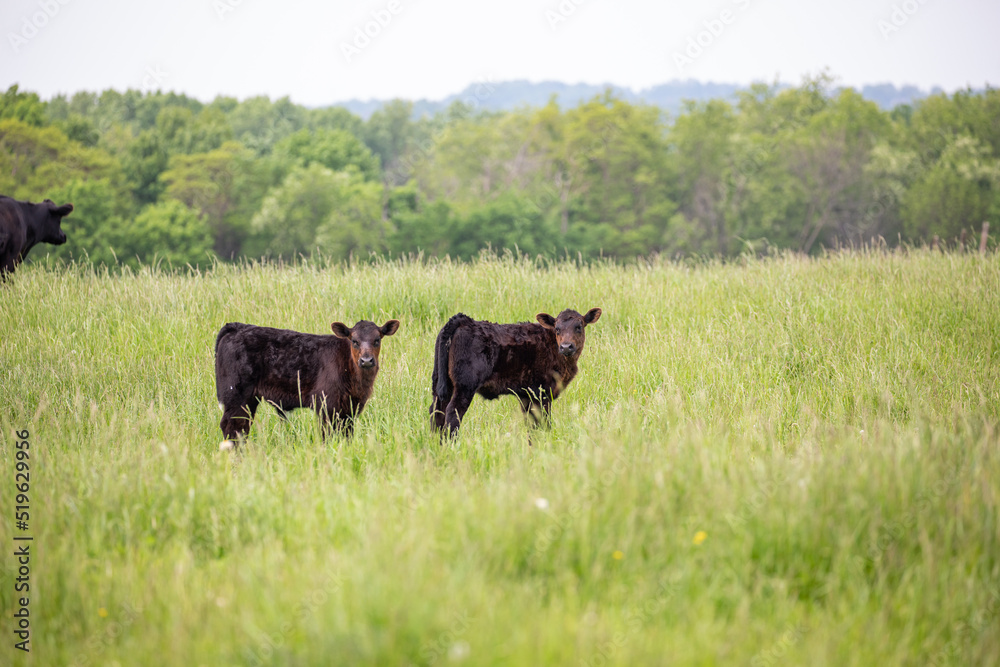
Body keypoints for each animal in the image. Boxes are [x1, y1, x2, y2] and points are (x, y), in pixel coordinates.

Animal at [214, 318, 400, 445]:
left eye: (377, 340)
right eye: (354, 341)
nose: (366, 360)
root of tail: (236, 327)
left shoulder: (351, 410)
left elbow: (346, 435)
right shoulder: (326, 406)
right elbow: (327, 435)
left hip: (249, 400)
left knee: (242, 426)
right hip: (235, 395)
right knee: (232, 426)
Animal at [429, 308, 602, 436]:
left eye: (579, 326)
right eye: (557, 329)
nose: (566, 347)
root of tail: (462, 320)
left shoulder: (526, 396)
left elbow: (532, 426)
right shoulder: (542, 393)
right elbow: (544, 423)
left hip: (440, 384)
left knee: (436, 411)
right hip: (465, 386)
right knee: (452, 413)